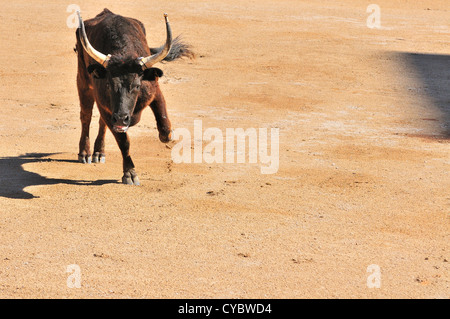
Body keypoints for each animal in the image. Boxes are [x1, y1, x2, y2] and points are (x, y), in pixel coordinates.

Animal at [74, 9, 193, 185]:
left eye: (137, 85)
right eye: (108, 84)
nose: (121, 118)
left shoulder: (154, 90)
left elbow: (164, 127)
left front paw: (169, 134)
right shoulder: (108, 111)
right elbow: (124, 142)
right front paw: (130, 173)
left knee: (100, 122)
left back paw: (99, 152)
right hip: (83, 82)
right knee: (86, 116)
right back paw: (85, 153)